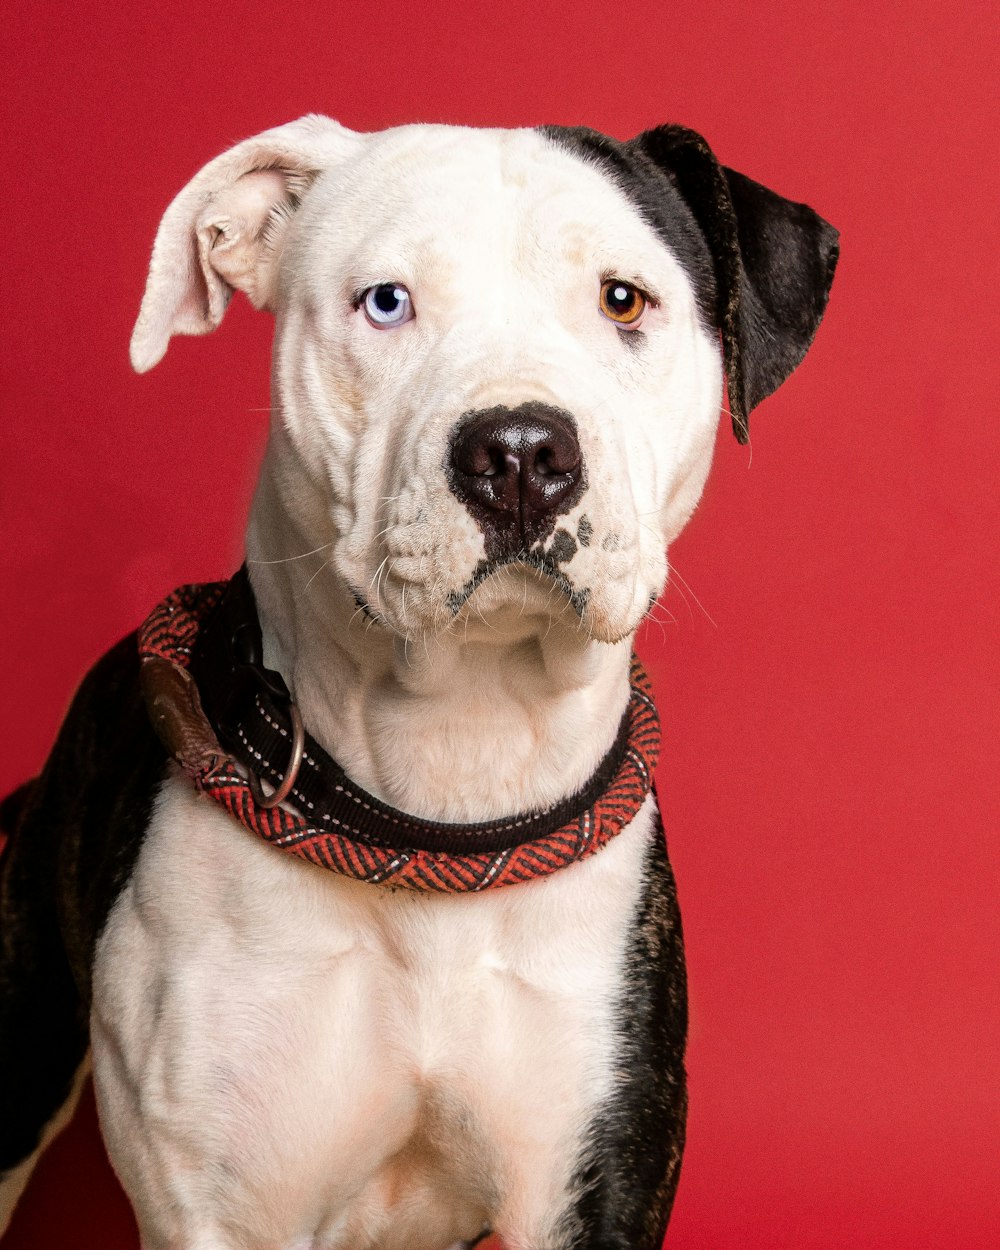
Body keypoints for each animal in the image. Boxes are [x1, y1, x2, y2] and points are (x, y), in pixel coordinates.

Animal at [0, 119, 835, 1250]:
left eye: (623, 299)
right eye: (386, 301)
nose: (521, 450)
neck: (449, 795)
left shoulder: (590, 1186)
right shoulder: (220, 1207)